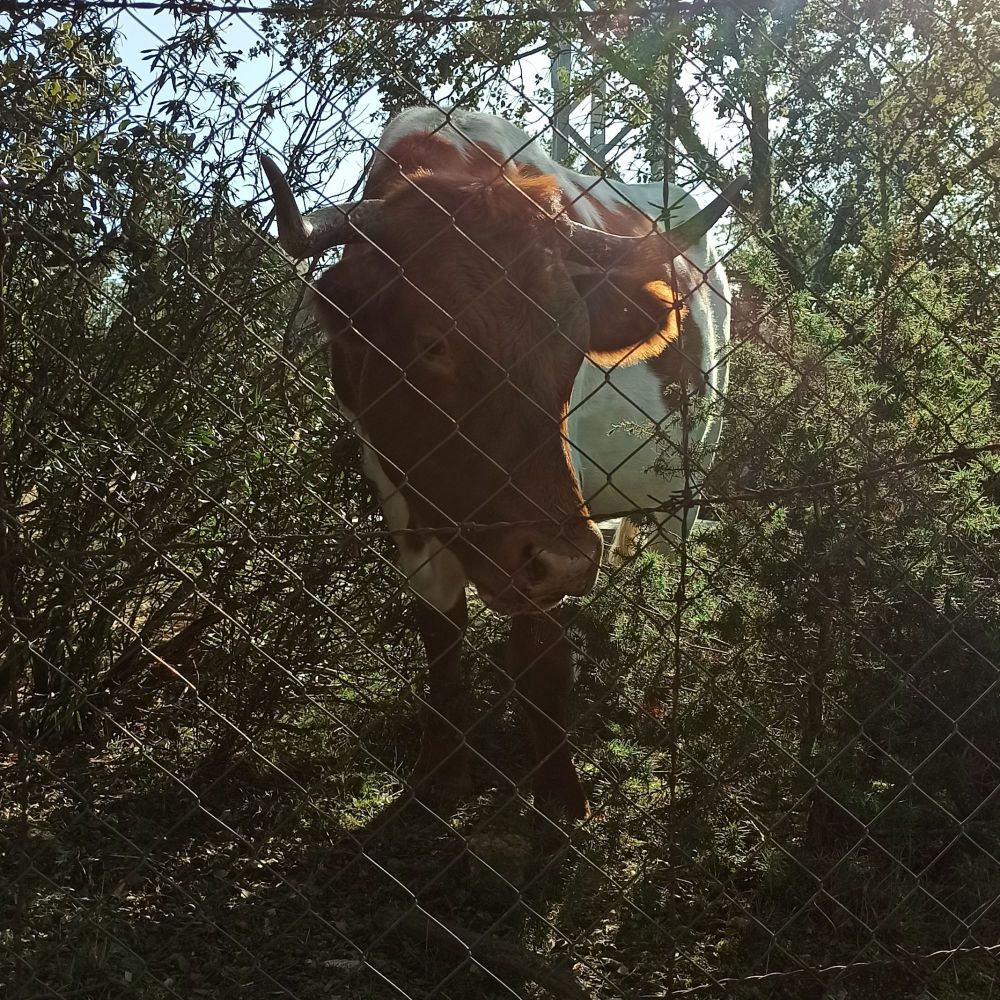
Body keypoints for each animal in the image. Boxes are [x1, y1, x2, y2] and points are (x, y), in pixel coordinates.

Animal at [260, 107, 744, 822]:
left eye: (573, 343)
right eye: (433, 342)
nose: (567, 562)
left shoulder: (552, 517)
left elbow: (539, 652)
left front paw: (560, 790)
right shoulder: (401, 493)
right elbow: (440, 631)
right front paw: (443, 769)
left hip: (691, 469)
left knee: (673, 576)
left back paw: (657, 696)